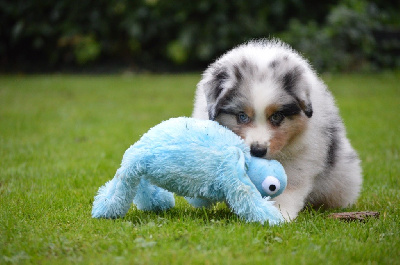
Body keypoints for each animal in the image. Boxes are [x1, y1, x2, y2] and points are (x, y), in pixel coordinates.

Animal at [192, 37, 364, 219]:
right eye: (242, 116)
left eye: (276, 116)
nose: (257, 151)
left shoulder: (302, 155)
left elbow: (290, 185)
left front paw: (281, 214)